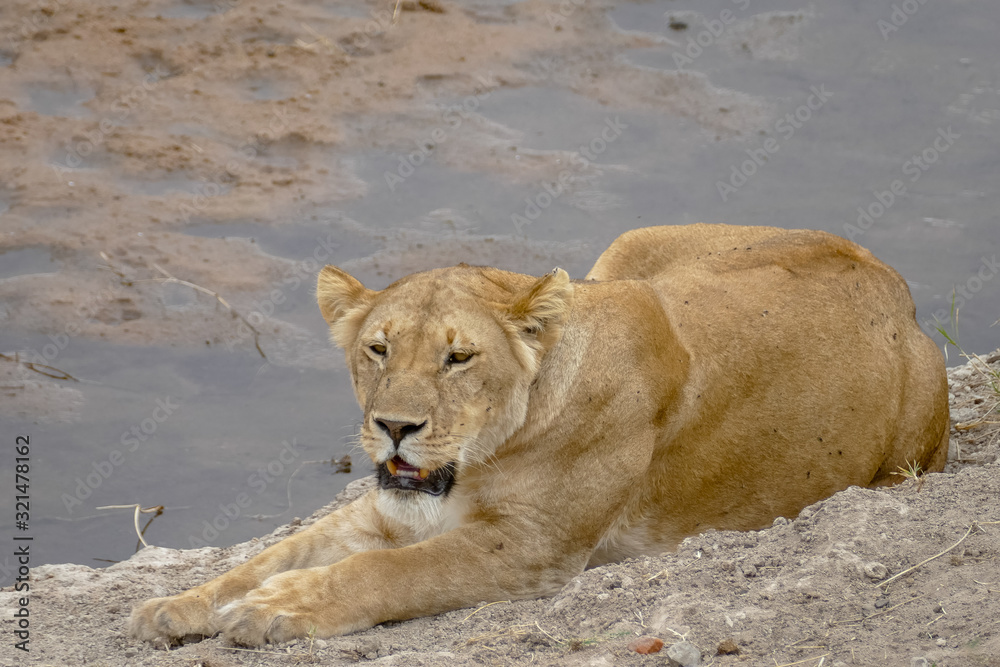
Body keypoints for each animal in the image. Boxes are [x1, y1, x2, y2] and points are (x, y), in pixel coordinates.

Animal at [128, 223, 949, 646]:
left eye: (459, 357)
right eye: (378, 349)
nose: (393, 427)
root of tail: (892, 279)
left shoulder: (531, 548)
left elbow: (388, 573)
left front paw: (278, 609)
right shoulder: (386, 510)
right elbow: (272, 555)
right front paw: (182, 605)